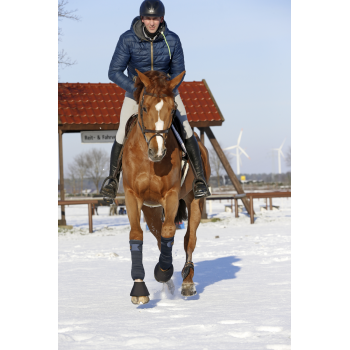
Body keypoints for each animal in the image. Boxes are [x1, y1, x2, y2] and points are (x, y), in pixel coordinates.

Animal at [123, 69, 211, 304]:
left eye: (172, 109)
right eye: (144, 107)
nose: (157, 151)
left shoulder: (171, 196)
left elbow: (170, 231)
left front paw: (163, 272)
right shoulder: (133, 196)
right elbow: (136, 235)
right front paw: (139, 289)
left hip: (195, 200)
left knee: (189, 238)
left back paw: (186, 282)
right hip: (151, 210)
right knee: (158, 238)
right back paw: (168, 283)